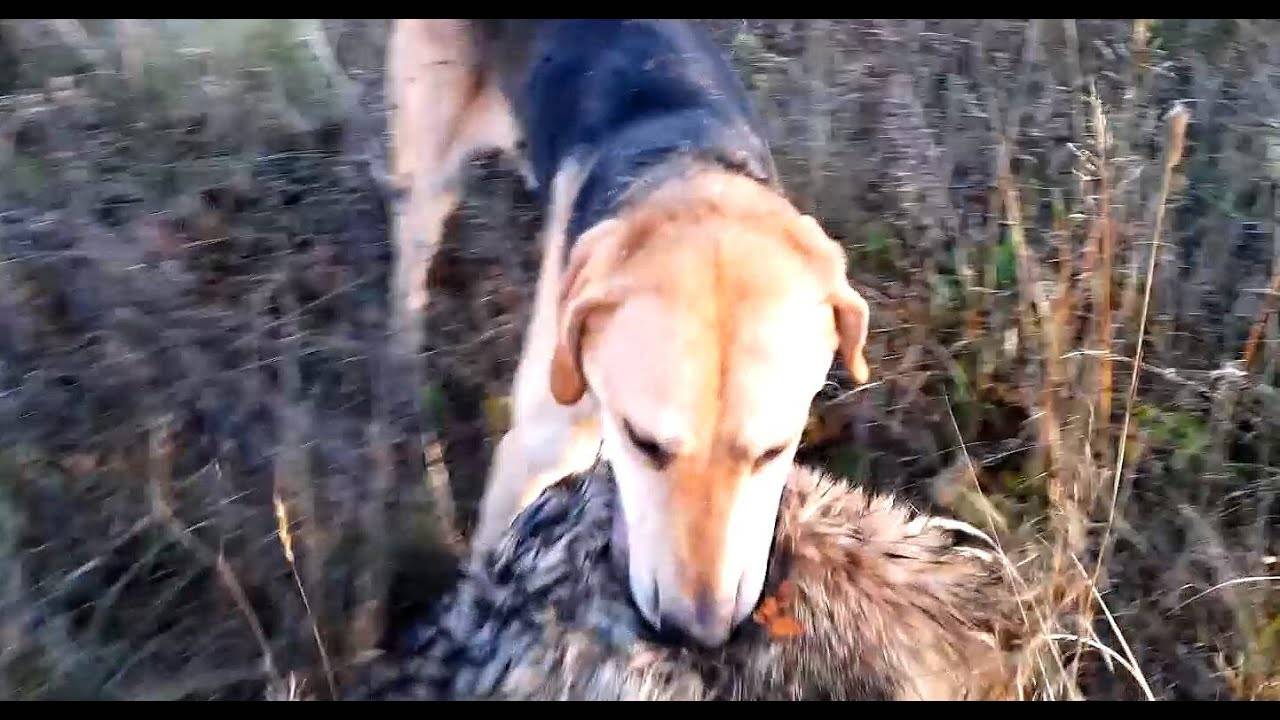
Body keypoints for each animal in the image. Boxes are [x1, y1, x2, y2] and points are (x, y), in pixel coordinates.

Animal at [386, 18, 870, 645]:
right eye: (644, 443)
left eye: (774, 451)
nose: (697, 635)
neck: (687, 165)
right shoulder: (535, 453)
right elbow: (490, 558)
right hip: (430, 173)